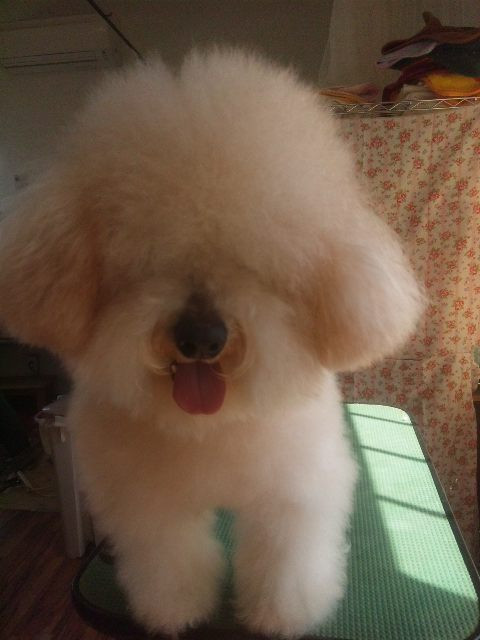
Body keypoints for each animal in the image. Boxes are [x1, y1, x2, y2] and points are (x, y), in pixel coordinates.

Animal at [0, 50, 421, 637]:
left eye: (257, 264)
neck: (211, 426)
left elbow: (284, 563)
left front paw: (280, 616)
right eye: (146, 257)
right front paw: (175, 611)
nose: (201, 339)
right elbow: (171, 563)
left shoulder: (289, 497)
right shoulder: (152, 506)